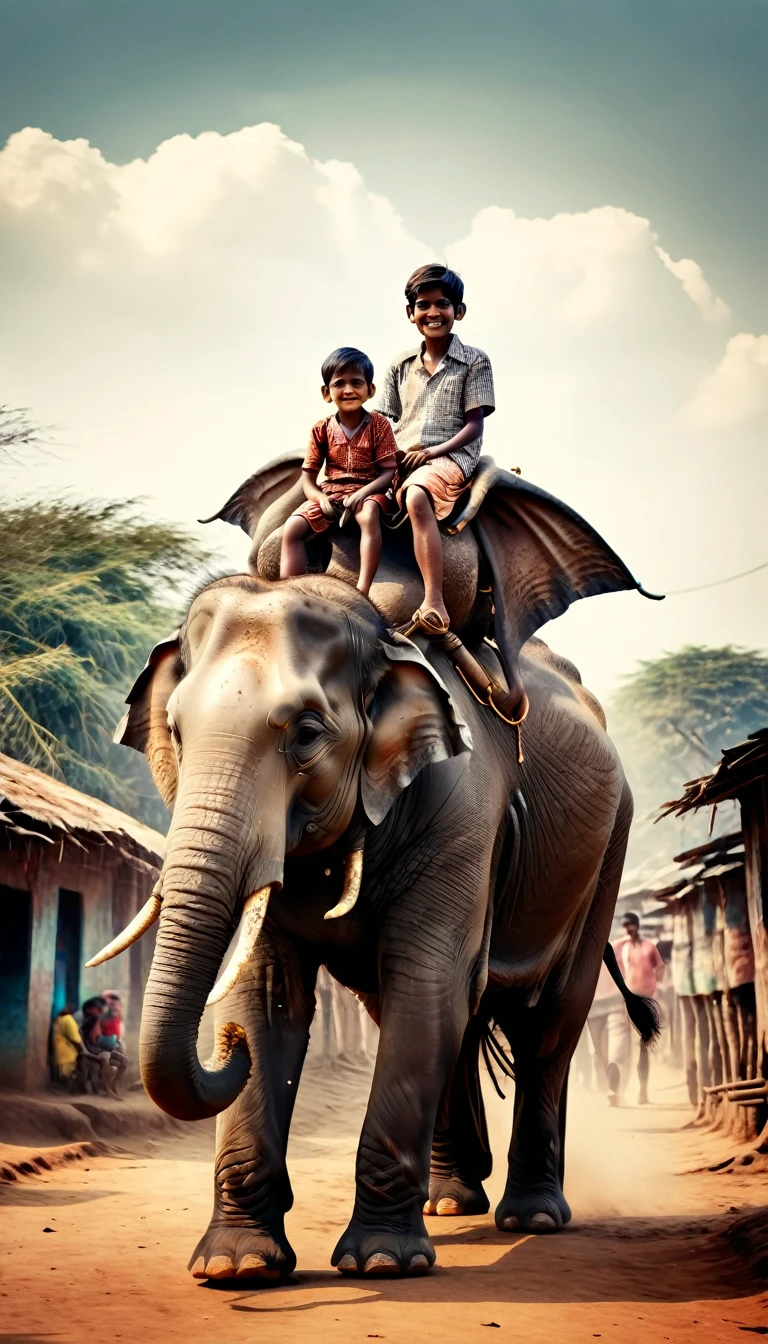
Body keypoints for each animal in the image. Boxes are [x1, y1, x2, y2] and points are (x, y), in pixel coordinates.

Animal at [91, 459, 661, 1279]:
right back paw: (452, 1201)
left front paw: (384, 1264)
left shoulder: (462, 808)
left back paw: (530, 1216)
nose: (220, 1048)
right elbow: (271, 998)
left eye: (306, 734)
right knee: (443, 1013)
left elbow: (427, 980)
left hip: (609, 848)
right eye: (174, 731)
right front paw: (238, 1268)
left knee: (545, 1022)